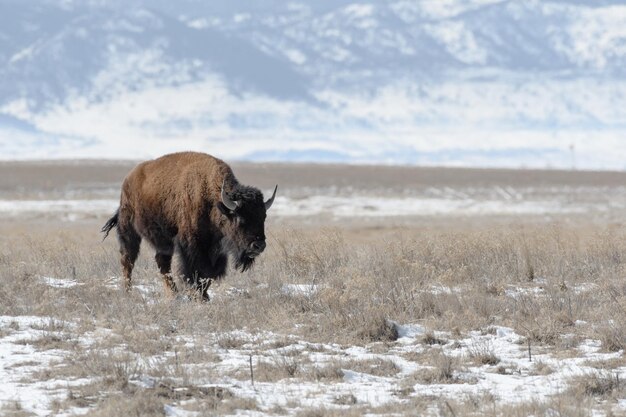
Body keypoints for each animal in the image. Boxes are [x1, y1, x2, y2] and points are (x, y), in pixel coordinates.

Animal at [100, 151, 276, 298]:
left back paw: (173, 294)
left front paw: (203, 296)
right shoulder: (191, 245)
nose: (258, 245)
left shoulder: (215, 250)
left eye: (263, 217)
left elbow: (209, 274)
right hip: (128, 229)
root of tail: (129, 178)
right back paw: (128, 292)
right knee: (128, 260)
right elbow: (195, 272)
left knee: (162, 262)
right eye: (240, 218)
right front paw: (199, 297)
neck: (213, 200)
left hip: (164, 241)